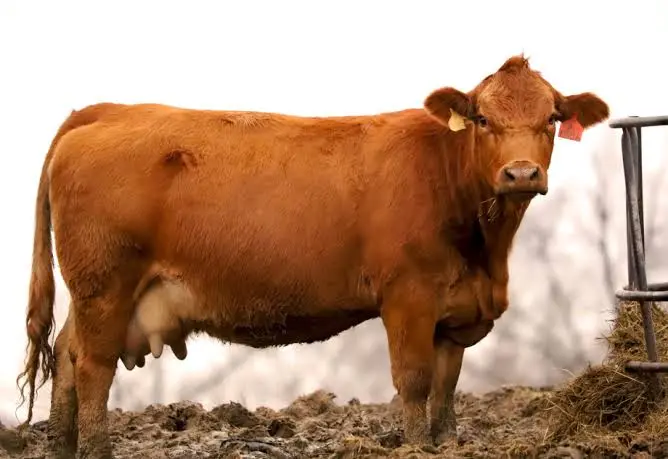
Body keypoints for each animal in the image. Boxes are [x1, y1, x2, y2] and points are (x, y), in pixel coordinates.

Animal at [17, 55, 609, 458]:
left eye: (552, 118)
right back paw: (96, 451)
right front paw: (416, 446)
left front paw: (445, 444)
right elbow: (415, 380)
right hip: (105, 286)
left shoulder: (453, 311)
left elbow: (446, 388)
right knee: (92, 367)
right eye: (483, 119)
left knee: (68, 357)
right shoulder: (408, 296)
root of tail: (105, 111)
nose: (521, 173)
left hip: (98, 295)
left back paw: (62, 449)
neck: (484, 252)